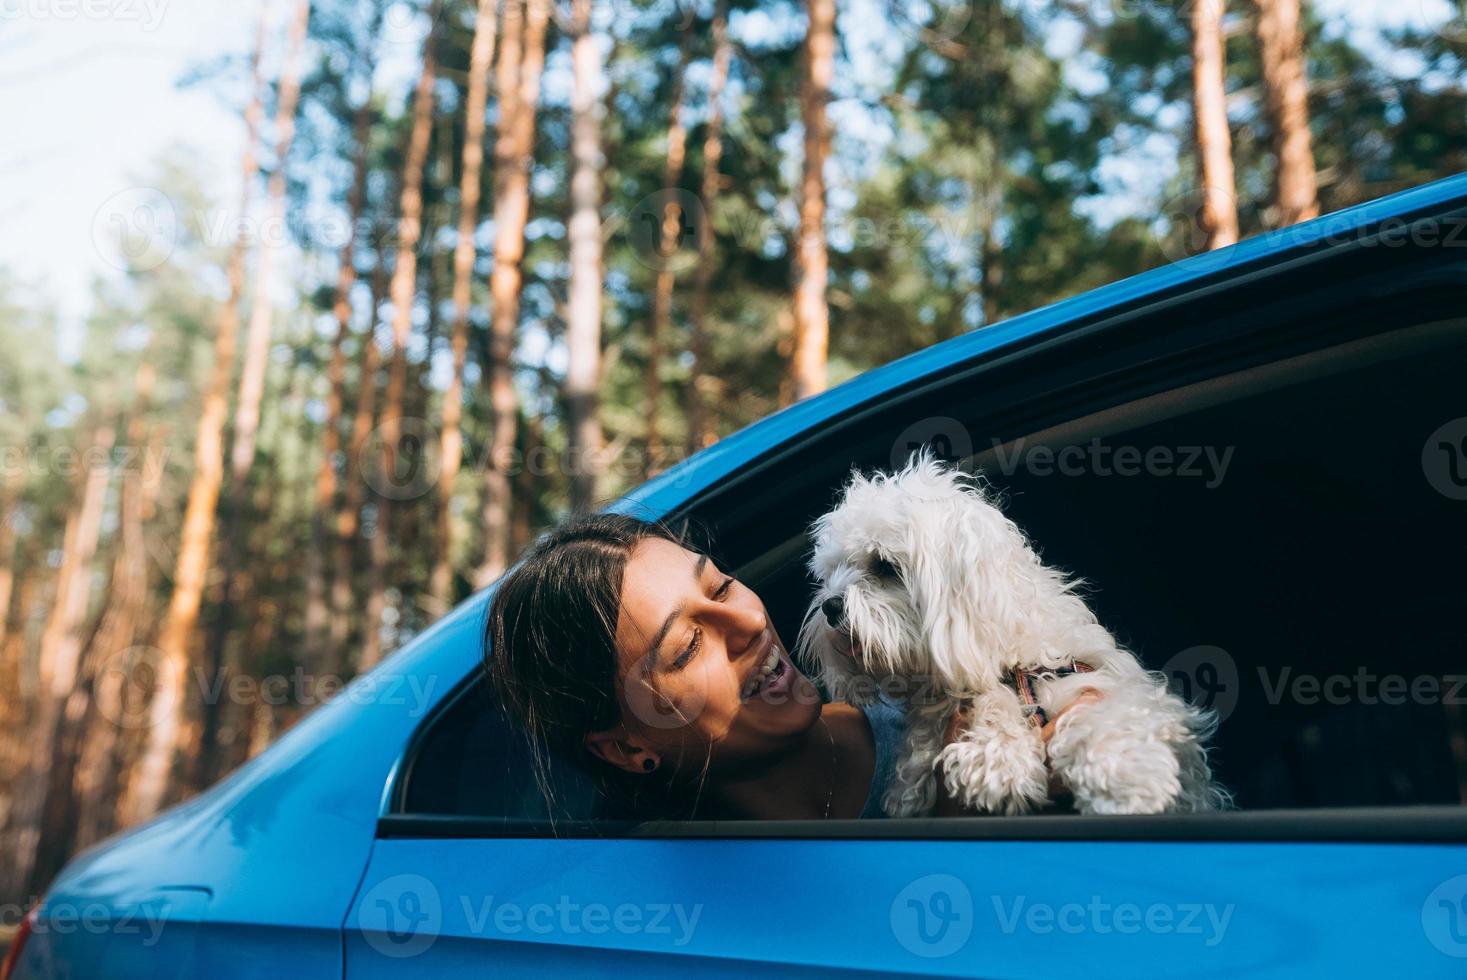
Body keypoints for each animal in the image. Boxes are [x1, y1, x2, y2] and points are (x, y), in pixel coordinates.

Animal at [798, 454, 1220, 815]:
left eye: (884, 566)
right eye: (831, 572)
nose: (830, 607)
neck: (1004, 657)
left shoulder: (1097, 683)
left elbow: (1107, 714)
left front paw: (1125, 774)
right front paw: (995, 756)